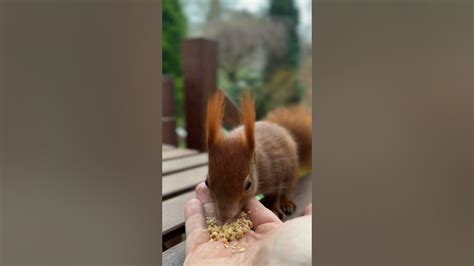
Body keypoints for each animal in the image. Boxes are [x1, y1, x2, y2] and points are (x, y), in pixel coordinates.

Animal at [204, 90, 312, 221]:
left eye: (248, 185)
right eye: (207, 182)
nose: (225, 216)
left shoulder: (275, 175)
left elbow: (275, 196)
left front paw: (274, 208)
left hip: (291, 172)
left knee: (287, 189)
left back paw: (286, 203)